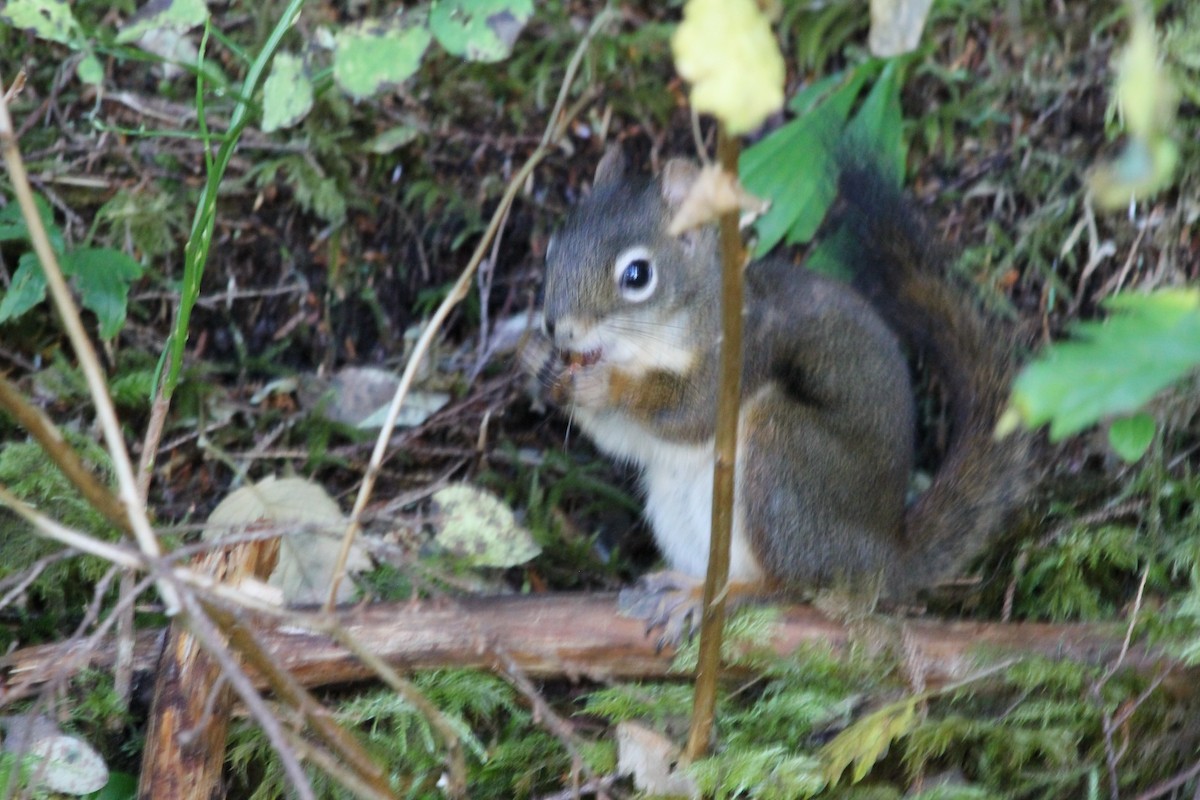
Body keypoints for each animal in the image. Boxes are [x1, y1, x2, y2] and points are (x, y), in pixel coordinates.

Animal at [524, 146, 1031, 634]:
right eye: (551, 249)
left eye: (637, 275)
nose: (556, 326)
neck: (646, 347)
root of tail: (882, 556)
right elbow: (626, 441)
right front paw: (538, 362)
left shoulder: (743, 353)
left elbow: (691, 413)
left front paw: (606, 383)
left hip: (783, 460)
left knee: (788, 586)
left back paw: (705, 598)